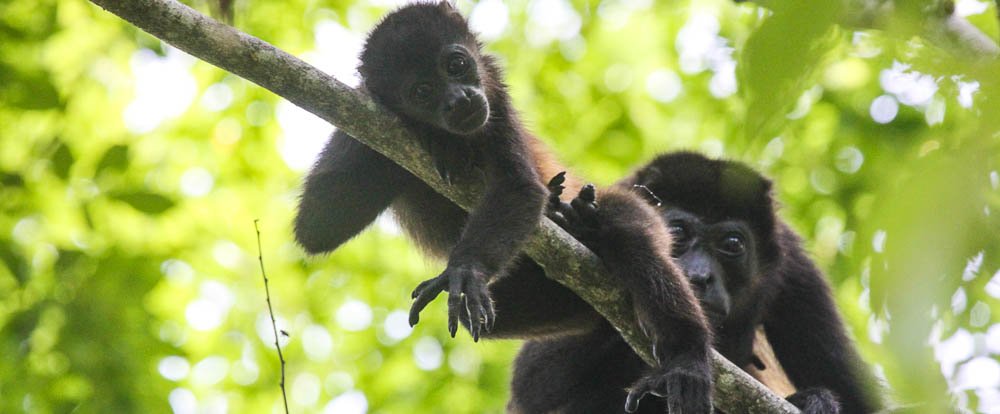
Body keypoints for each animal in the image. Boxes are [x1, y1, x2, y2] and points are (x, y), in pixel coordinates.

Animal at [292, 3, 716, 410]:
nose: (459, 99)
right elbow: (319, 225)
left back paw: (686, 355)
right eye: (423, 91)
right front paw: (430, 134)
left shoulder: (495, 95)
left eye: (456, 64)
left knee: (631, 237)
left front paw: (466, 268)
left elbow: (518, 187)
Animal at [508, 153, 884, 414]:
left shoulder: (798, 274)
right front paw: (600, 227)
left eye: (732, 244)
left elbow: (855, 398)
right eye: (676, 232)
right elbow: (533, 382)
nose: (699, 276)